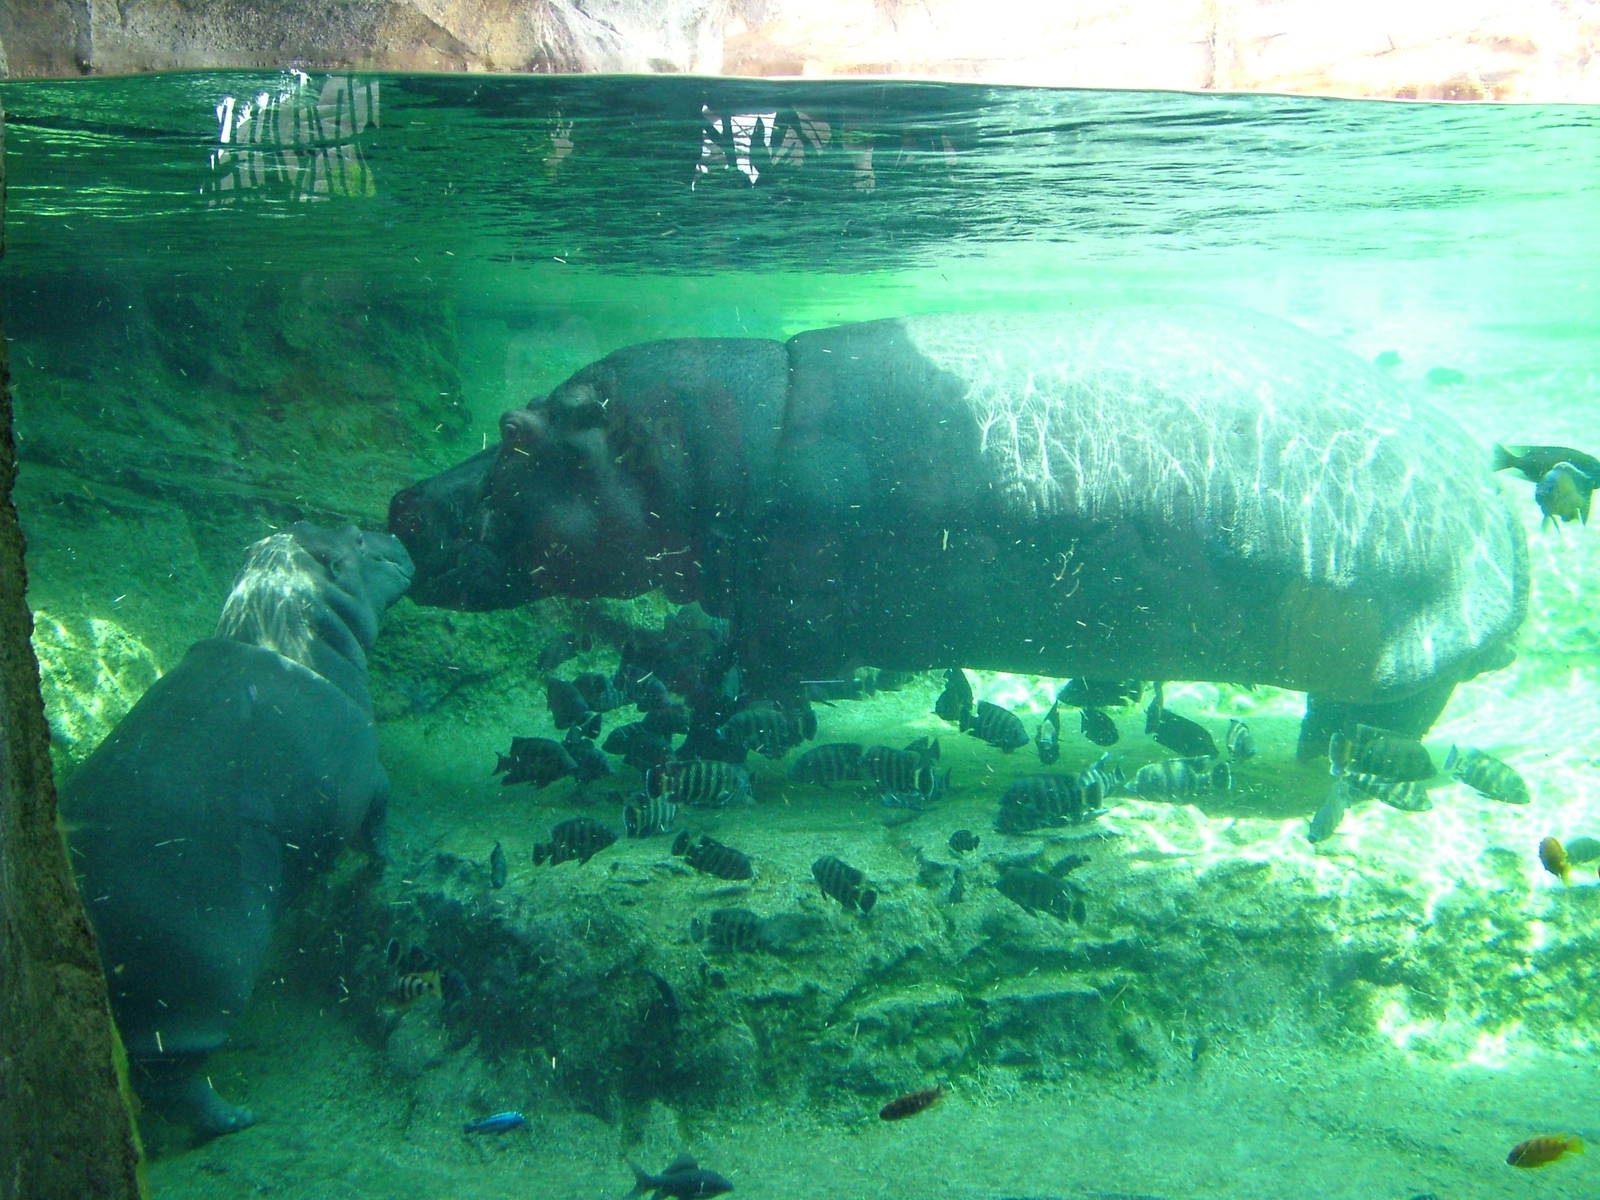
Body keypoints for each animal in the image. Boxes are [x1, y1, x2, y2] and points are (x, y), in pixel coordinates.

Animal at [60, 522, 412, 1138]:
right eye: (355, 540)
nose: (391, 529)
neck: (293, 622)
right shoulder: (369, 773)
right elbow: (379, 820)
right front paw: (387, 862)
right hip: (200, 989)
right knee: (173, 1080)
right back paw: (236, 1119)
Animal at [389, 305, 1527, 740]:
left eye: (516, 432)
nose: (401, 503)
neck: (728, 438)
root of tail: (1502, 509)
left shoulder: (783, 608)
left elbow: (740, 664)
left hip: (1414, 644)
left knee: (1400, 709)